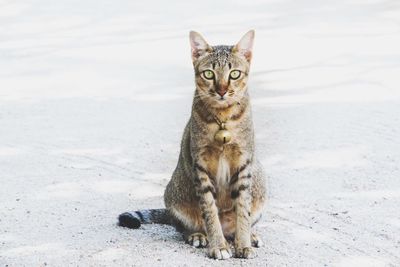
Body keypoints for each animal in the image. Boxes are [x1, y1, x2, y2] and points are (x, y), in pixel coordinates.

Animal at [120, 30, 268, 260]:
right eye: (209, 74)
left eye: (234, 74)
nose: (222, 90)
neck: (223, 118)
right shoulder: (201, 166)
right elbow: (209, 211)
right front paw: (218, 246)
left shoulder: (244, 164)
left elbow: (243, 210)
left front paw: (243, 244)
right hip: (174, 195)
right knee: (182, 227)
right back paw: (198, 235)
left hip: (260, 183)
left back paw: (248, 236)